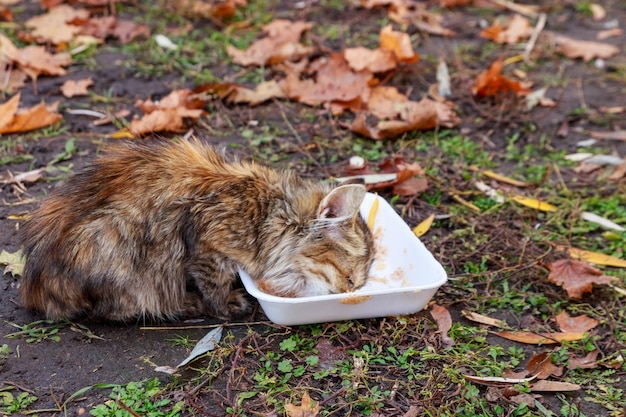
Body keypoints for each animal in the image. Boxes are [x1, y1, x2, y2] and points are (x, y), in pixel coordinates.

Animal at [19, 138, 372, 320]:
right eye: (350, 280)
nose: (349, 296)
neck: (271, 212)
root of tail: (35, 286)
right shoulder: (205, 243)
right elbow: (215, 284)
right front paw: (225, 304)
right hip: (119, 247)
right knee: (120, 309)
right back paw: (187, 304)